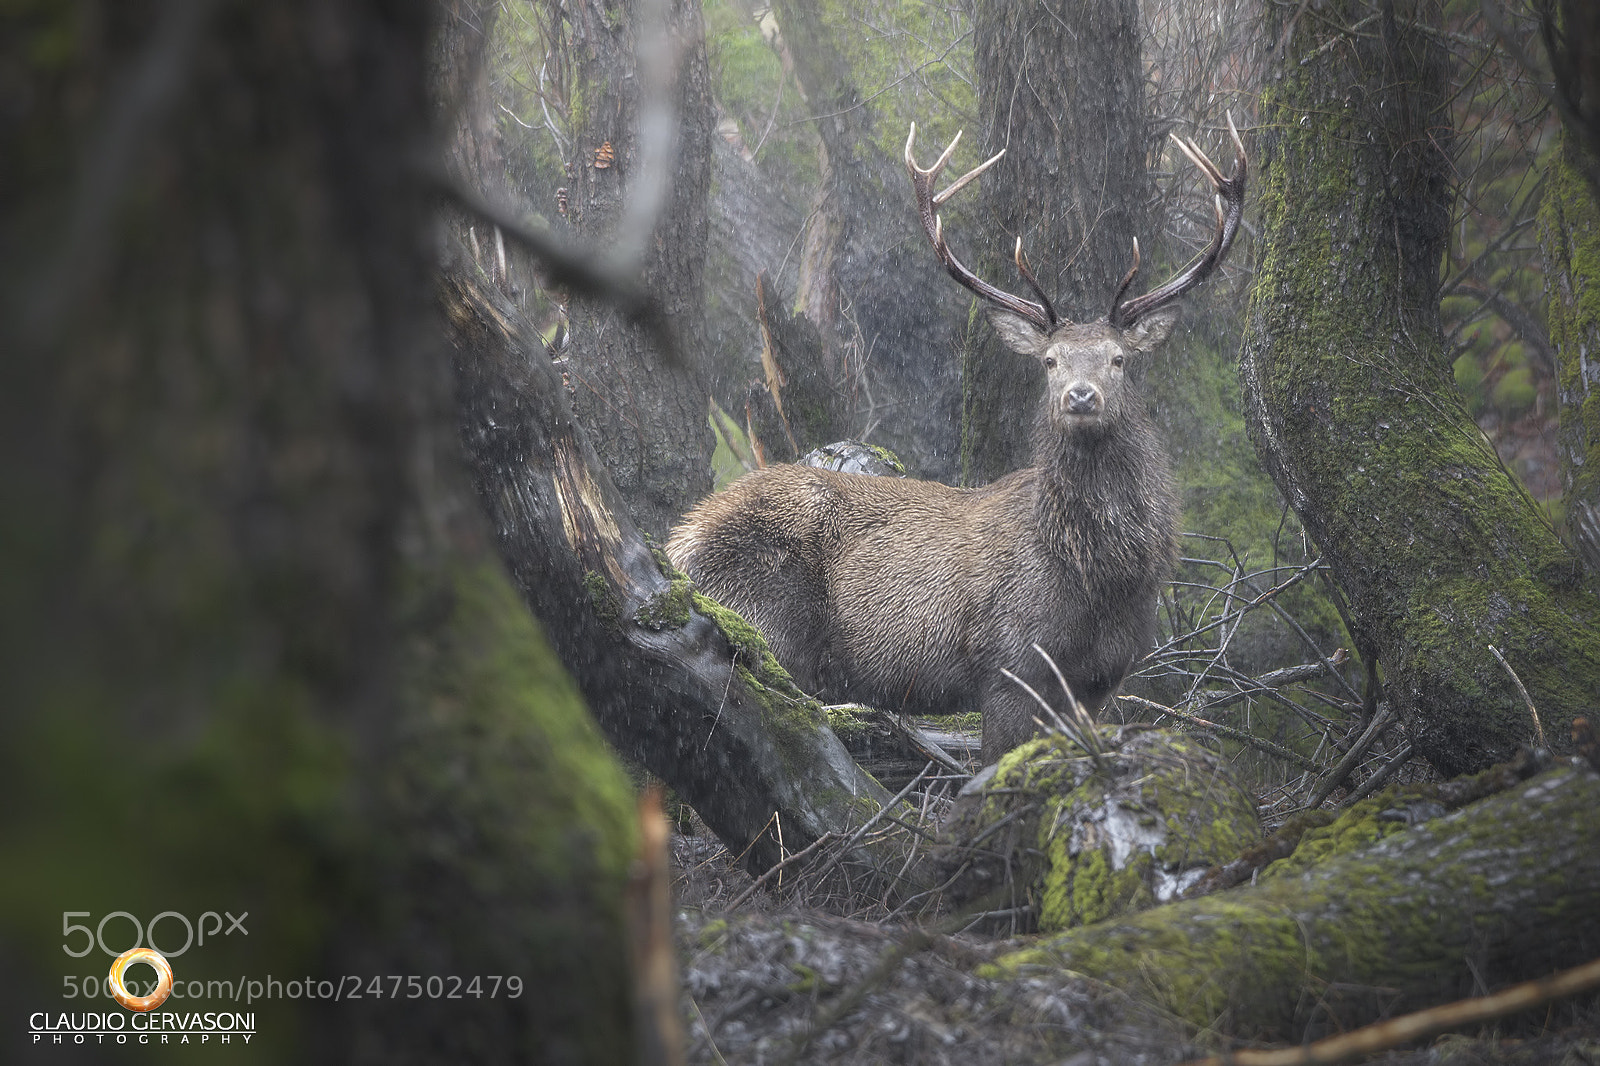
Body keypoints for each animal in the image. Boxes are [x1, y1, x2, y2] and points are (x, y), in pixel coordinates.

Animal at [667, 118, 1247, 763]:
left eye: (1119, 359)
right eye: (1050, 361)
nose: (1080, 396)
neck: (1098, 578)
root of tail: (679, 540)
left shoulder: (1102, 678)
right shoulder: (1010, 662)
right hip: (764, 617)